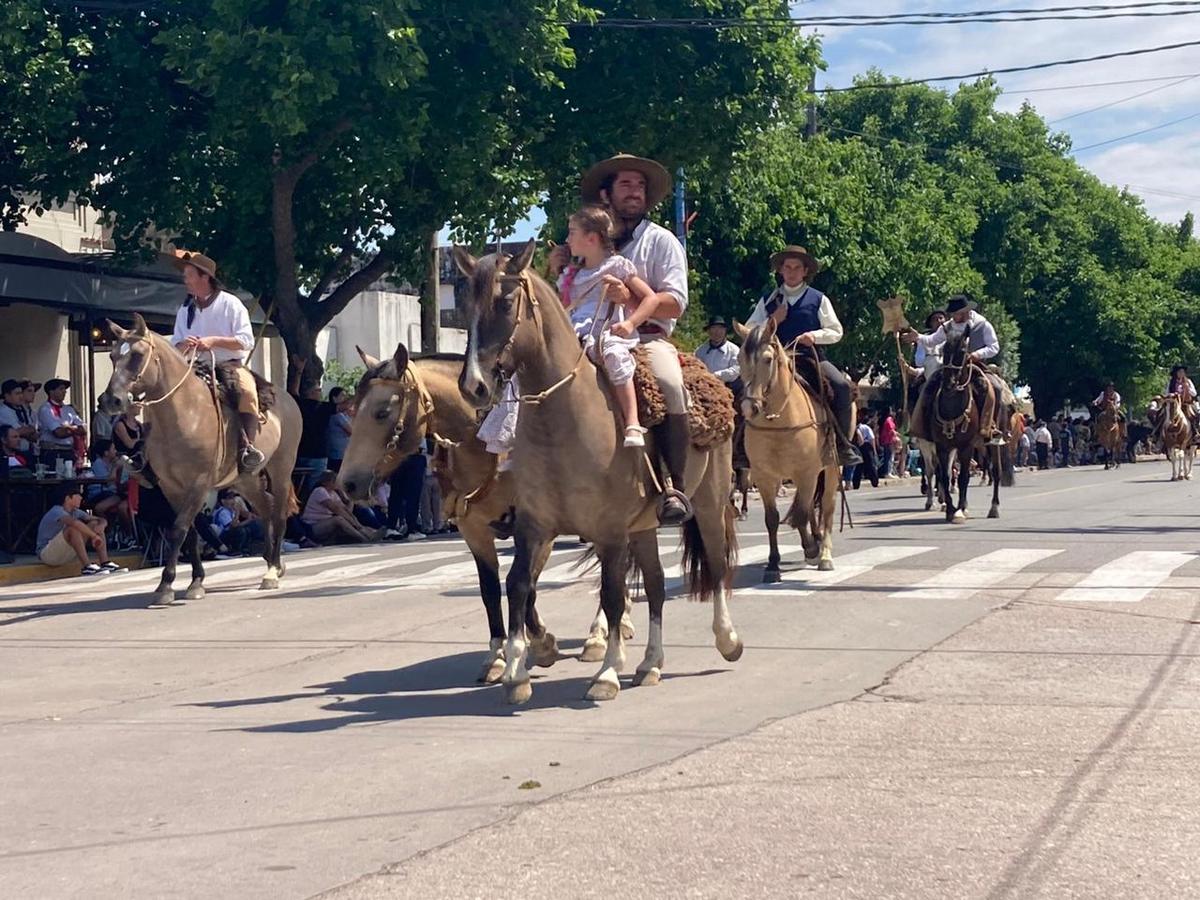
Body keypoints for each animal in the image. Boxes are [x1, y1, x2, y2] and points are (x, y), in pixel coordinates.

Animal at [104, 314, 300, 607]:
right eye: (112, 356)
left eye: (137, 355)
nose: (110, 400)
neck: (185, 414)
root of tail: (287, 399)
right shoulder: (171, 487)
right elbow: (190, 533)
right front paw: (194, 581)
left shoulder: (198, 483)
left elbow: (178, 529)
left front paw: (166, 584)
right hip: (244, 479)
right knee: (265, 508)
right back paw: (271, 562)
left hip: (281, 470)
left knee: (278, 514)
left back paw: (272, 572)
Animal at [336, 345, 564, 681]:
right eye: (353, 409)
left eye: (382, 412)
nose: (348, 483)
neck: (487, 446)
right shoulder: (473, 529)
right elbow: (490, 589)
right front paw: (497, 656)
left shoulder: (540, 529)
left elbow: (527, 584)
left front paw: (541, 643)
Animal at [451, 243, 739, 710]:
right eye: (463, 307)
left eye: (506, 302)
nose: (473, 385)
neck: (563, 419)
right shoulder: (534, 525)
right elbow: (517, 585)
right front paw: (515, 673)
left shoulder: (610, 531)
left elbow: (612, 594)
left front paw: (606, 673)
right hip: (644, 526)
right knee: (657, 585)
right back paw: (650, 664)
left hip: (709, 505)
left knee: (715, 566)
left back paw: (727, 639)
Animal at [724, 321, 840, 580]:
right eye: (740, 358)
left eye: (768, 359)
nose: (749, 407)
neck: (780, 422)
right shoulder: (765, 476)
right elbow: (773, 519)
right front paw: (773, 565)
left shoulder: (807, 473)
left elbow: (802, 513)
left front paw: (813, 549)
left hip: (830, 470)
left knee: (826, 507)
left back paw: (825, 555)